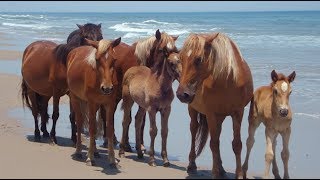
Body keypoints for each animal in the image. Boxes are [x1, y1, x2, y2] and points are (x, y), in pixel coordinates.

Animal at [67, 37, 121, 167]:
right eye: (97, 59)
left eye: (114, 59)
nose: (107, 88)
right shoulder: (91, 103)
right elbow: (91, 129)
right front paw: (90, 158)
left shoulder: (110, 104)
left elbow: (109, 129)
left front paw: (112, 159)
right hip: (75, 99)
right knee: (79, 122)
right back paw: (79, 151)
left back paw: (95, 151)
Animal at [176, 32, 254, 179]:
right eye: (180, 59)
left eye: (199, 59)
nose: (182, 94)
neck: (227, 80)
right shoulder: (211, 114)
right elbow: (214, 144)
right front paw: (215, 173)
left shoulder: (238, 112)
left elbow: (237, 144)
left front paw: (239, 174)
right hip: (193, 109)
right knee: (194, 129)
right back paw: (192, 165)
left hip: (220, 116)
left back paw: (221, 168)